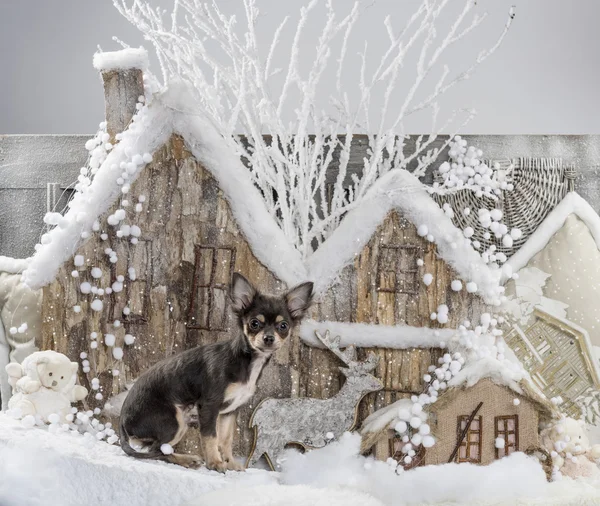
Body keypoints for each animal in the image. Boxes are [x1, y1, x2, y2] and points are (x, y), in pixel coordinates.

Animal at [118, 270, 314, 472]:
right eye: (254, 323)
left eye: (283, 326)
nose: (268, 338)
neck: (248, 362)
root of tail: (122, 422)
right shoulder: (209, 406)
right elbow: (211, 437)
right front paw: (215, 463)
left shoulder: (230, 411)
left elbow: (226, 439)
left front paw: (230, 463)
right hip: (174, 421)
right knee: (158, 450)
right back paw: (187, 460)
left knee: (158, 449)